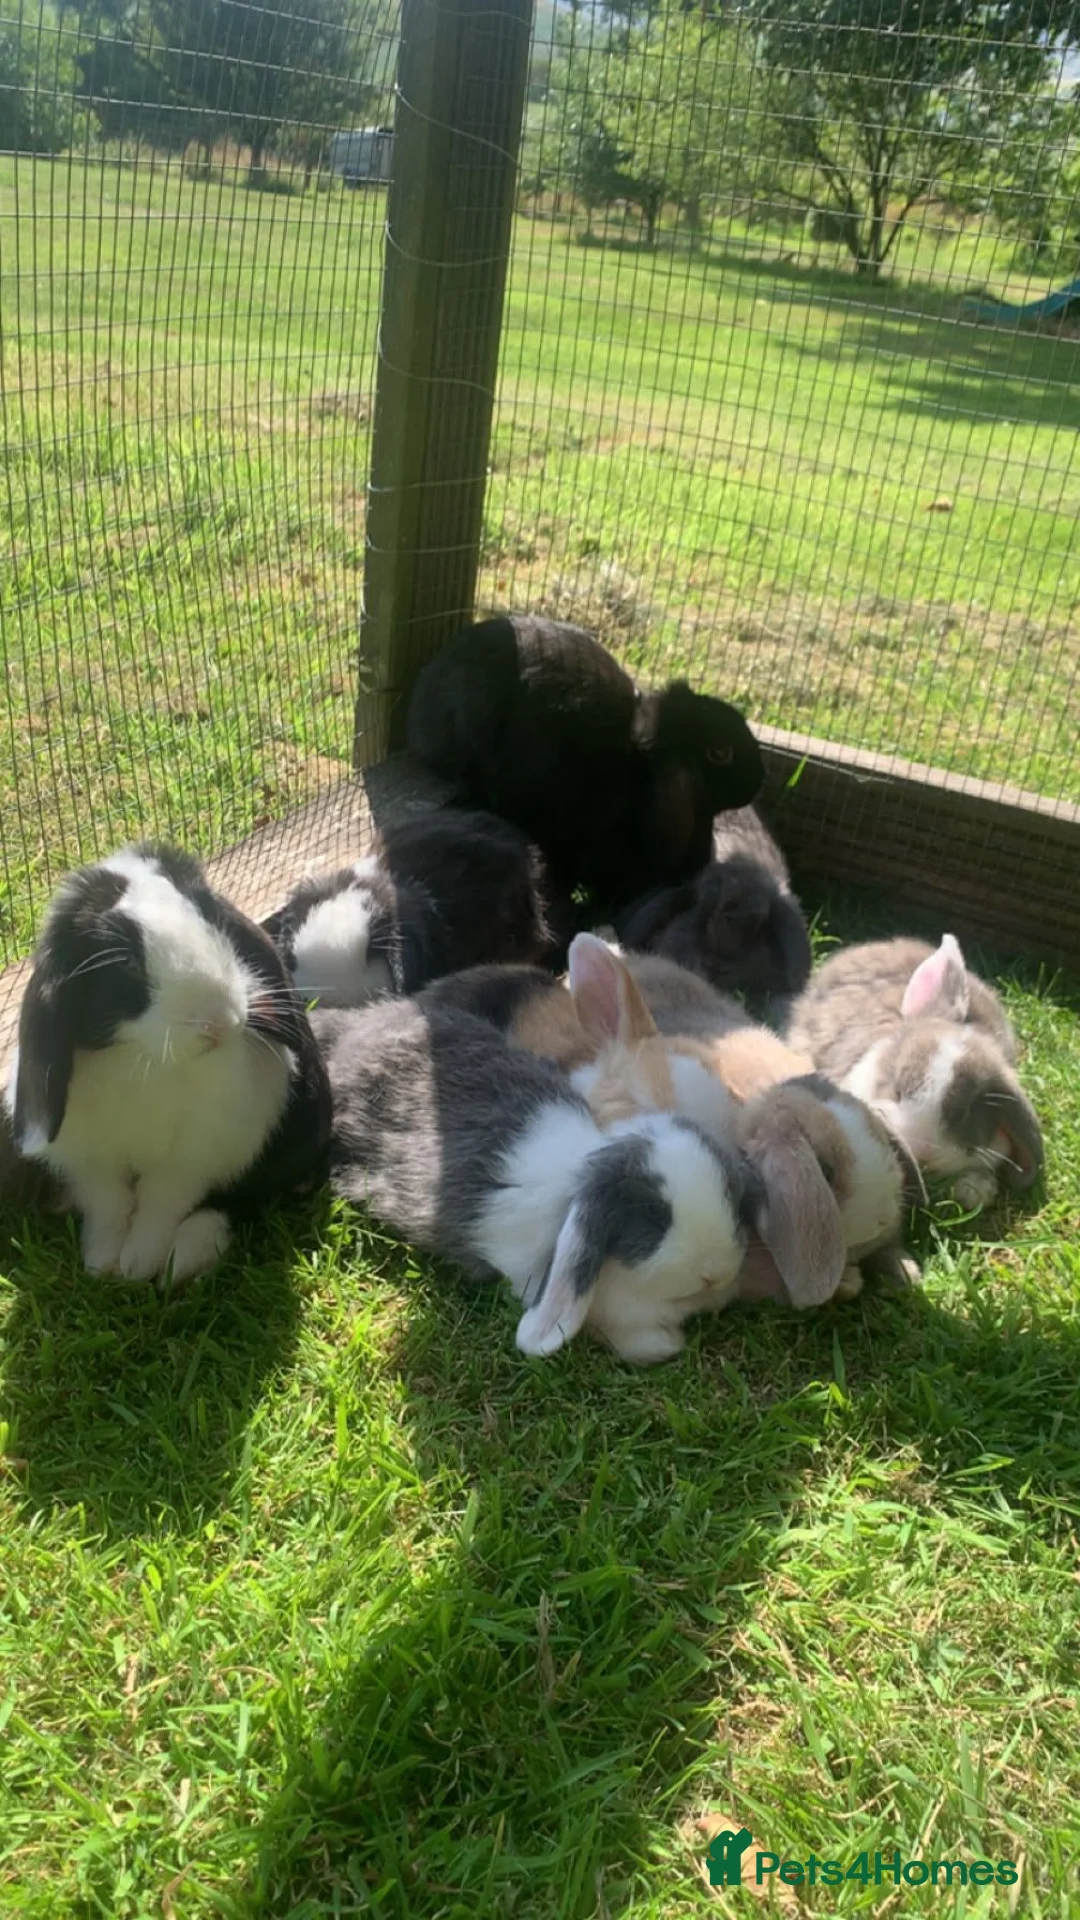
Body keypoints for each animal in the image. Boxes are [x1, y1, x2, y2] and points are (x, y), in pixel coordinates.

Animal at [3, 843, 332, 1286]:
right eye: (127, 963)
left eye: (211, 921)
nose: (220, 1022)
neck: (146, 1059)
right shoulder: (90, 1161)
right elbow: (109, 1204)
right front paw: (102, 1262)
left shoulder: (193, 1157)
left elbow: (160, 1204)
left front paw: (138, 1264)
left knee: (245, 1200)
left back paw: (184, 1257)